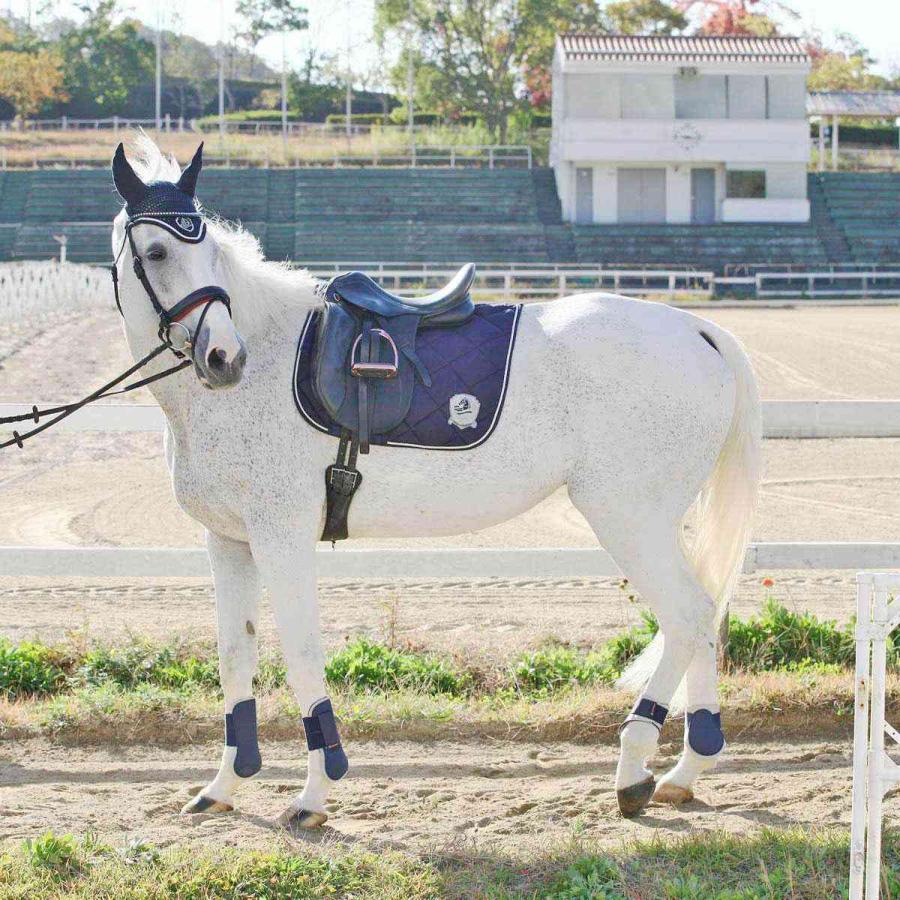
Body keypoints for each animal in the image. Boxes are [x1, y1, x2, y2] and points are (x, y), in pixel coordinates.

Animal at [107, 136, 761, 826]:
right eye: (158, 252)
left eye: (207, 250)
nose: (224, 358)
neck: (268, 365)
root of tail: (698, 329)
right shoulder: (230, 543)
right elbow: (236, 657)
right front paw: (224, 786)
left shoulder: (281, 540)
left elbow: (302, 655)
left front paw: (315, 795)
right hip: (658, 522)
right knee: (704, 612)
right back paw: (685, 771)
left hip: (628, 518)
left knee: (687, 616)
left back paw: (634, 769)